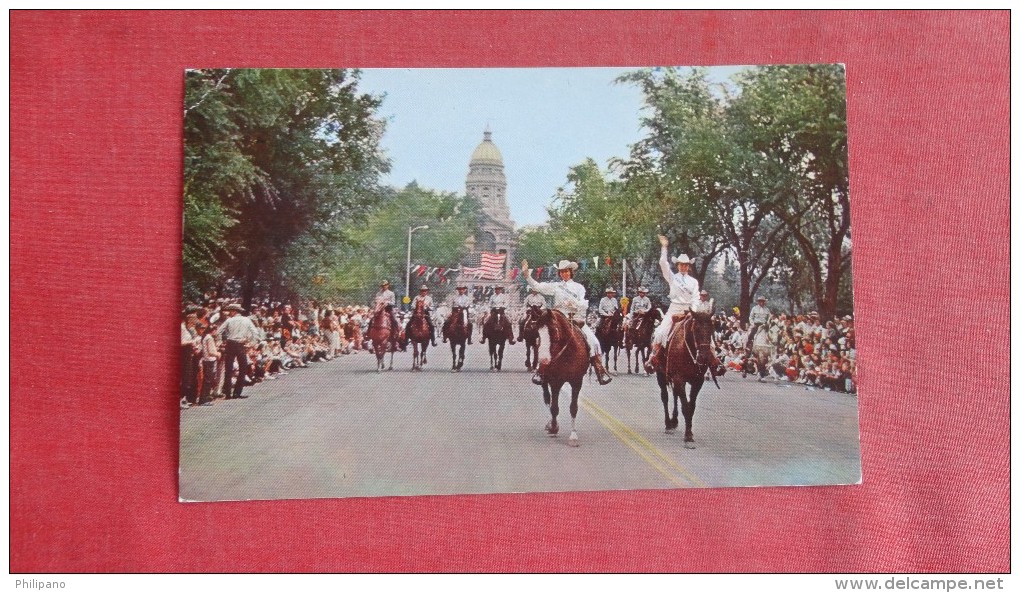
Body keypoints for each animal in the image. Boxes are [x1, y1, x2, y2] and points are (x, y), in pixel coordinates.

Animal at [526, 308, 591, 447]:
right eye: (538, 333)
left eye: (553, 331)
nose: (544, 361)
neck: (568, 354)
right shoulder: (555, 382)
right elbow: (554, 407)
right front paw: (554, 427)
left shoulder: (577, 382)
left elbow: (573, 407)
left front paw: (573, 436)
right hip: (545, 380)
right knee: (547, 398)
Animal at [656, 312, 714, 447]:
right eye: (696, 329)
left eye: (711, 329)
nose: (704, 357)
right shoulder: (679, 379)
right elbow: (685, 407)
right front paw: (687, 436)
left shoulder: (698, 381)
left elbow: (691, 406)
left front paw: (690, 432)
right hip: (661, 375)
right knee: (665, 397)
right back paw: (668, 424)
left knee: (675, 395)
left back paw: (674, 420)